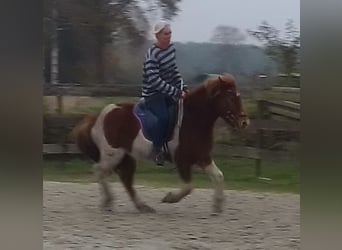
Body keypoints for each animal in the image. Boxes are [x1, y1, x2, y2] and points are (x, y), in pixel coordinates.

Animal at [71, 73, 248, 214]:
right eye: (230, 97)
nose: (244, 122)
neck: (193, 119)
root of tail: (97, 117)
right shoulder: (182, 160)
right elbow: (187, 187)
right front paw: (169, 198)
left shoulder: (202, 156)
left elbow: (218, 176)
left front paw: (218, 205)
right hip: (113, 154)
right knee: (100, 170)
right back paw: (107, 201)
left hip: (126, 157)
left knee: (125, 179)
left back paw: (142, 207)